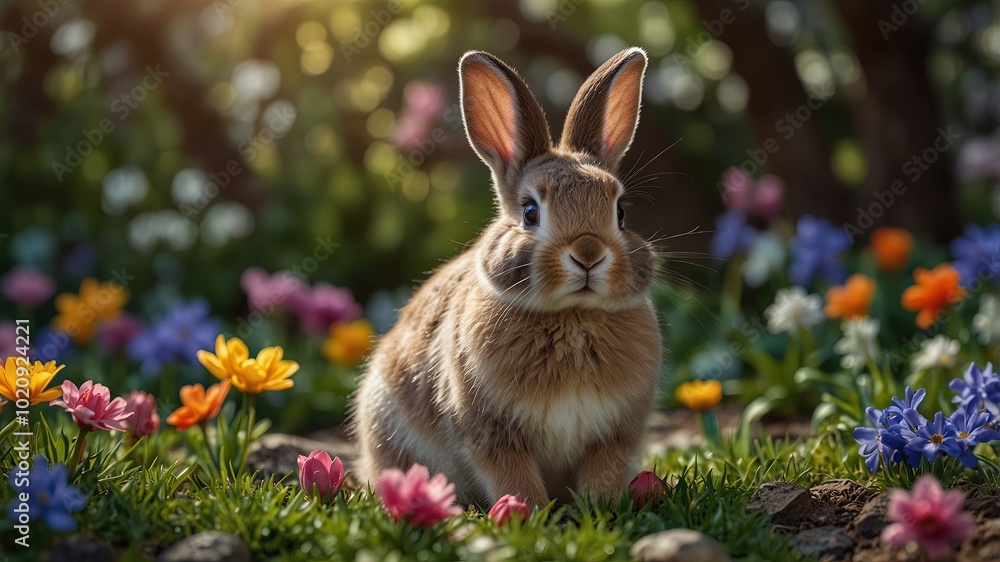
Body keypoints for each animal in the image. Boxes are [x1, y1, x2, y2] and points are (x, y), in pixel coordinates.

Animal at [351, 47, 662, 508]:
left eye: (620, 212)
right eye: (531, 212)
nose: (589, 254)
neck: (572, 316)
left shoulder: (614, 436)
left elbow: (601, 473)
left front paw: (600, 508)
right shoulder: (488, 430)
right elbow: (512, 475)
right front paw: (527, 511)